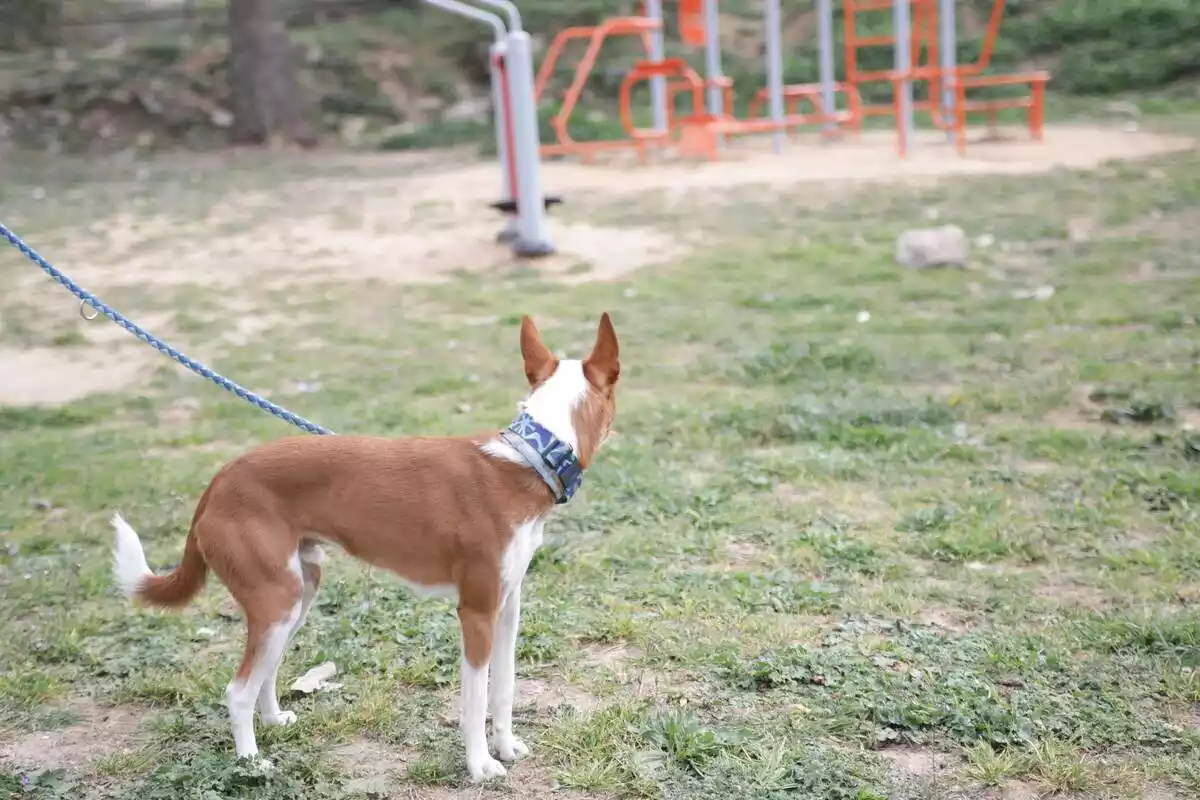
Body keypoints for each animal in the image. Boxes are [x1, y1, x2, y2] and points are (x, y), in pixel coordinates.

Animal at [111, 311, 619, 782]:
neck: (528, 458)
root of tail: (218, 481)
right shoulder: (476, 613)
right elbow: (474, 700)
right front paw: (480, 766)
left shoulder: (507, 607)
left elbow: (505, 687)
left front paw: (507, 747)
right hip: (277, 601)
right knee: (237, 690)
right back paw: (252, 763)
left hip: (299, 592)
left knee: (265, 671)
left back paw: (273, 720)